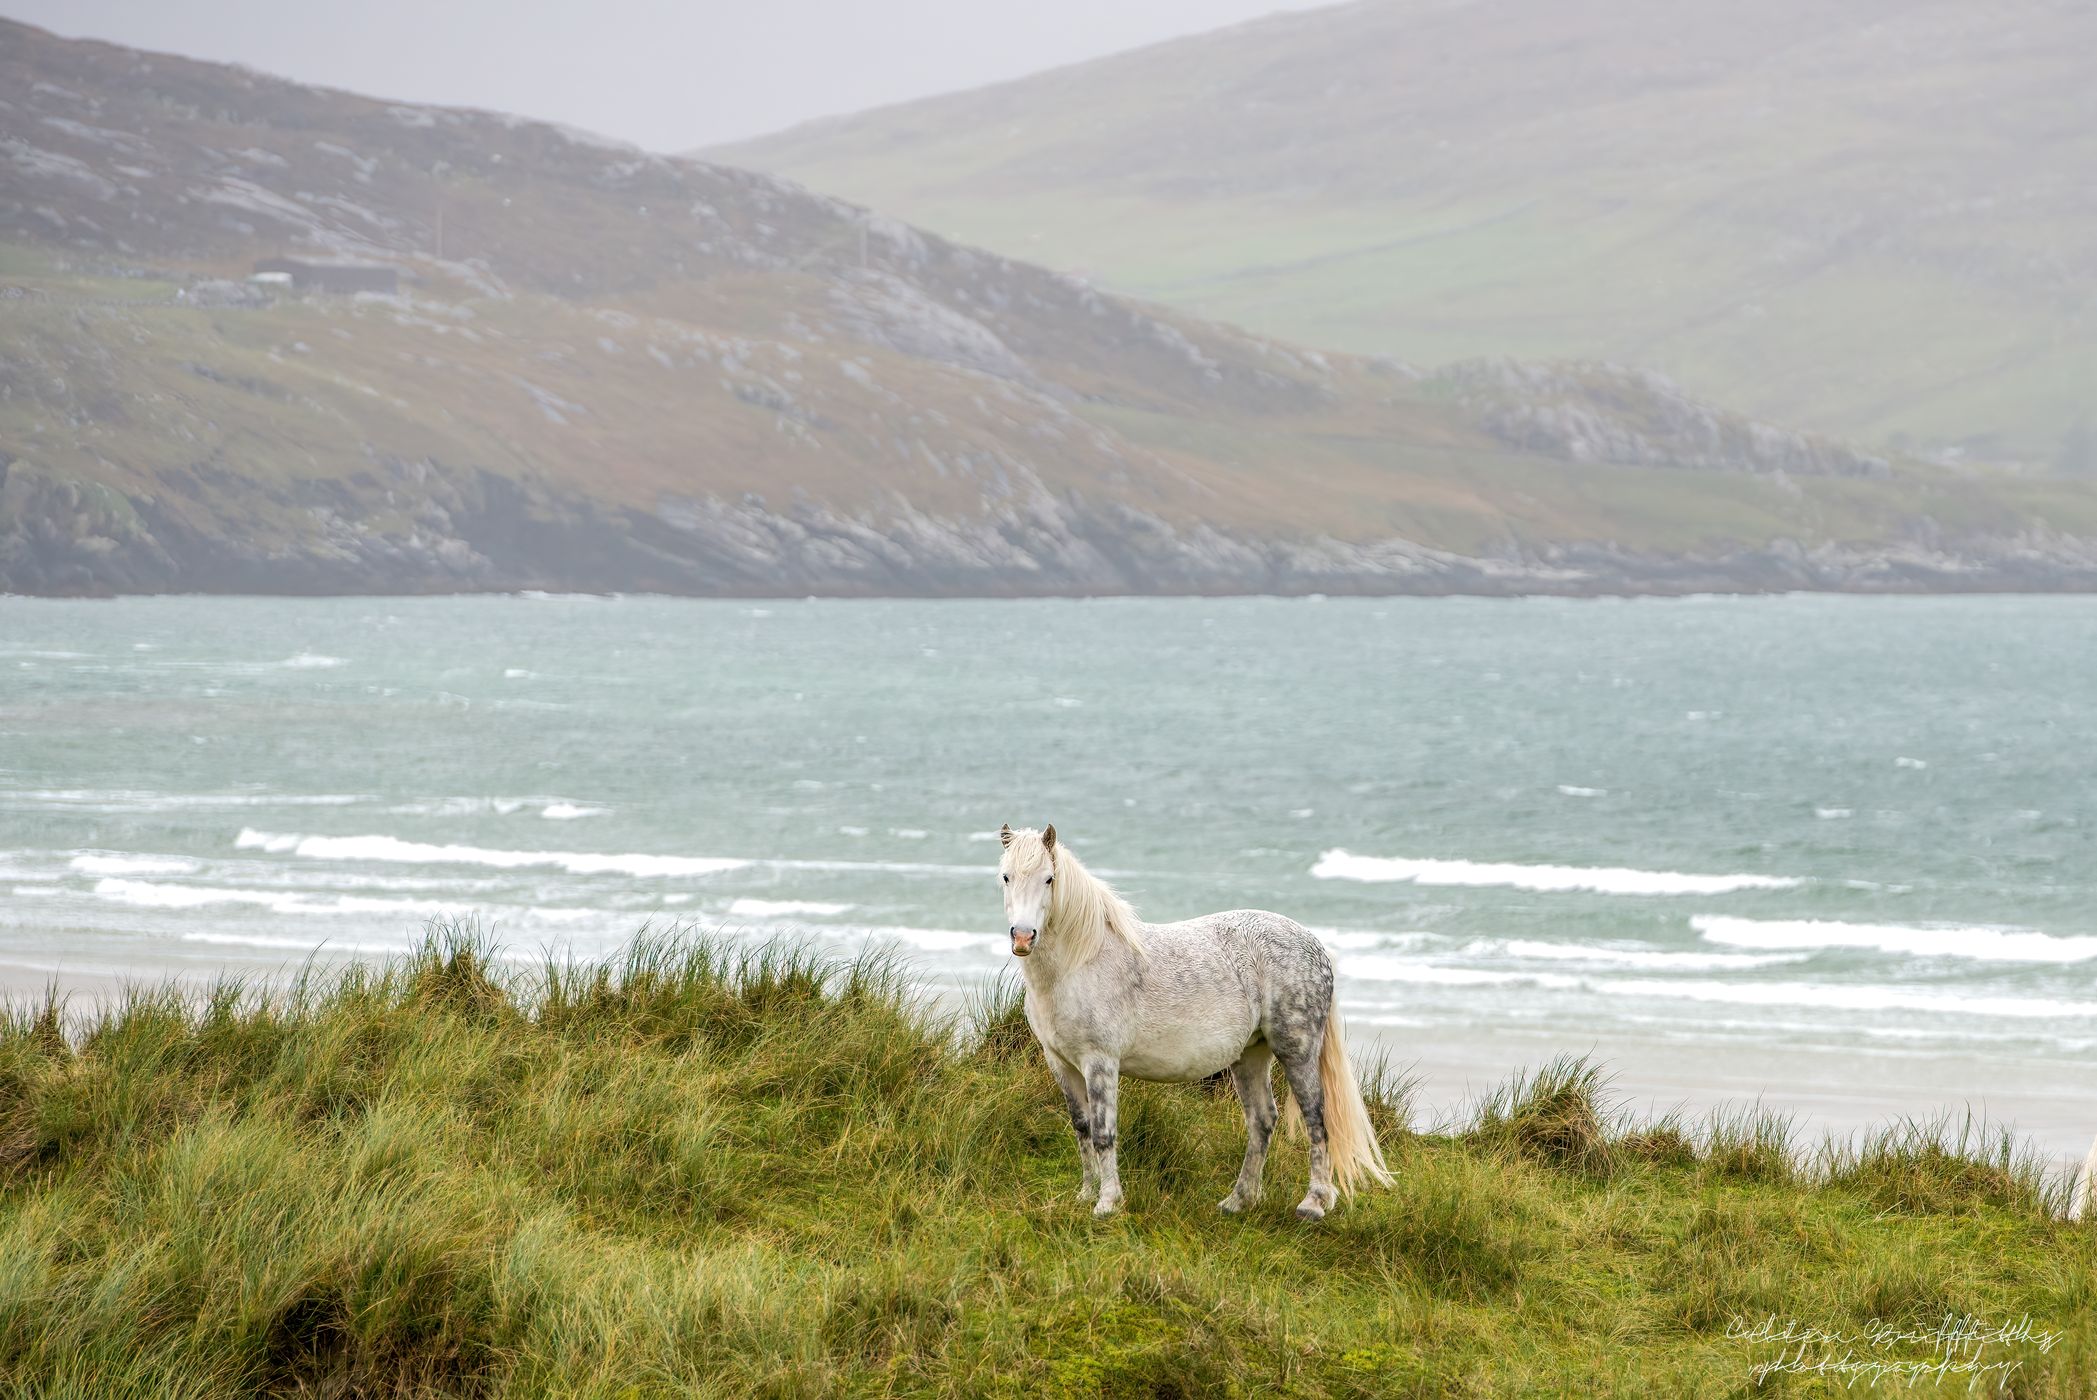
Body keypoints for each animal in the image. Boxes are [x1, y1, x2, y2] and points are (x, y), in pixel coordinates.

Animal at [997, 823, 1393, 1219]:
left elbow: (1102, 1133)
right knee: (1262, 1121)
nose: (1023, 936)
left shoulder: (1100, 1062)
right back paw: (1238, 1201)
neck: (1081, 962)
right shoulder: (1061, 1063)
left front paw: (1107, 1203)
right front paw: (1085, 1194)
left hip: (1297, 1051)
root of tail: (1315, 945)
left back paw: (1313, 1203)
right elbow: (1081, 1128)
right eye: (1006, 876)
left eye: (1049, 879)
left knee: (1316, 1117)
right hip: (1251, 1055)